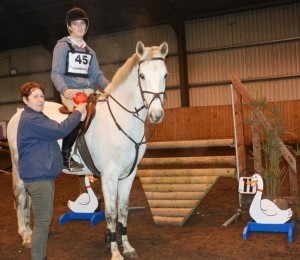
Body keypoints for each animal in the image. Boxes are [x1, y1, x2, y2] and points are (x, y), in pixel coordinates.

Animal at [7, 41, 169, 260]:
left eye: (165, 75)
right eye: (142, 76)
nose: (156, 114)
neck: (122, 120)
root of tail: (18, 113)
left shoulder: (128, 175)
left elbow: (123, 210)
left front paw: (126, 247)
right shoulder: (109, 176)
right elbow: (111, 213)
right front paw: (115, 251)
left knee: (29, 199)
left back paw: (31, 232)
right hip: (18, 168)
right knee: (21, 197)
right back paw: (25, 236)